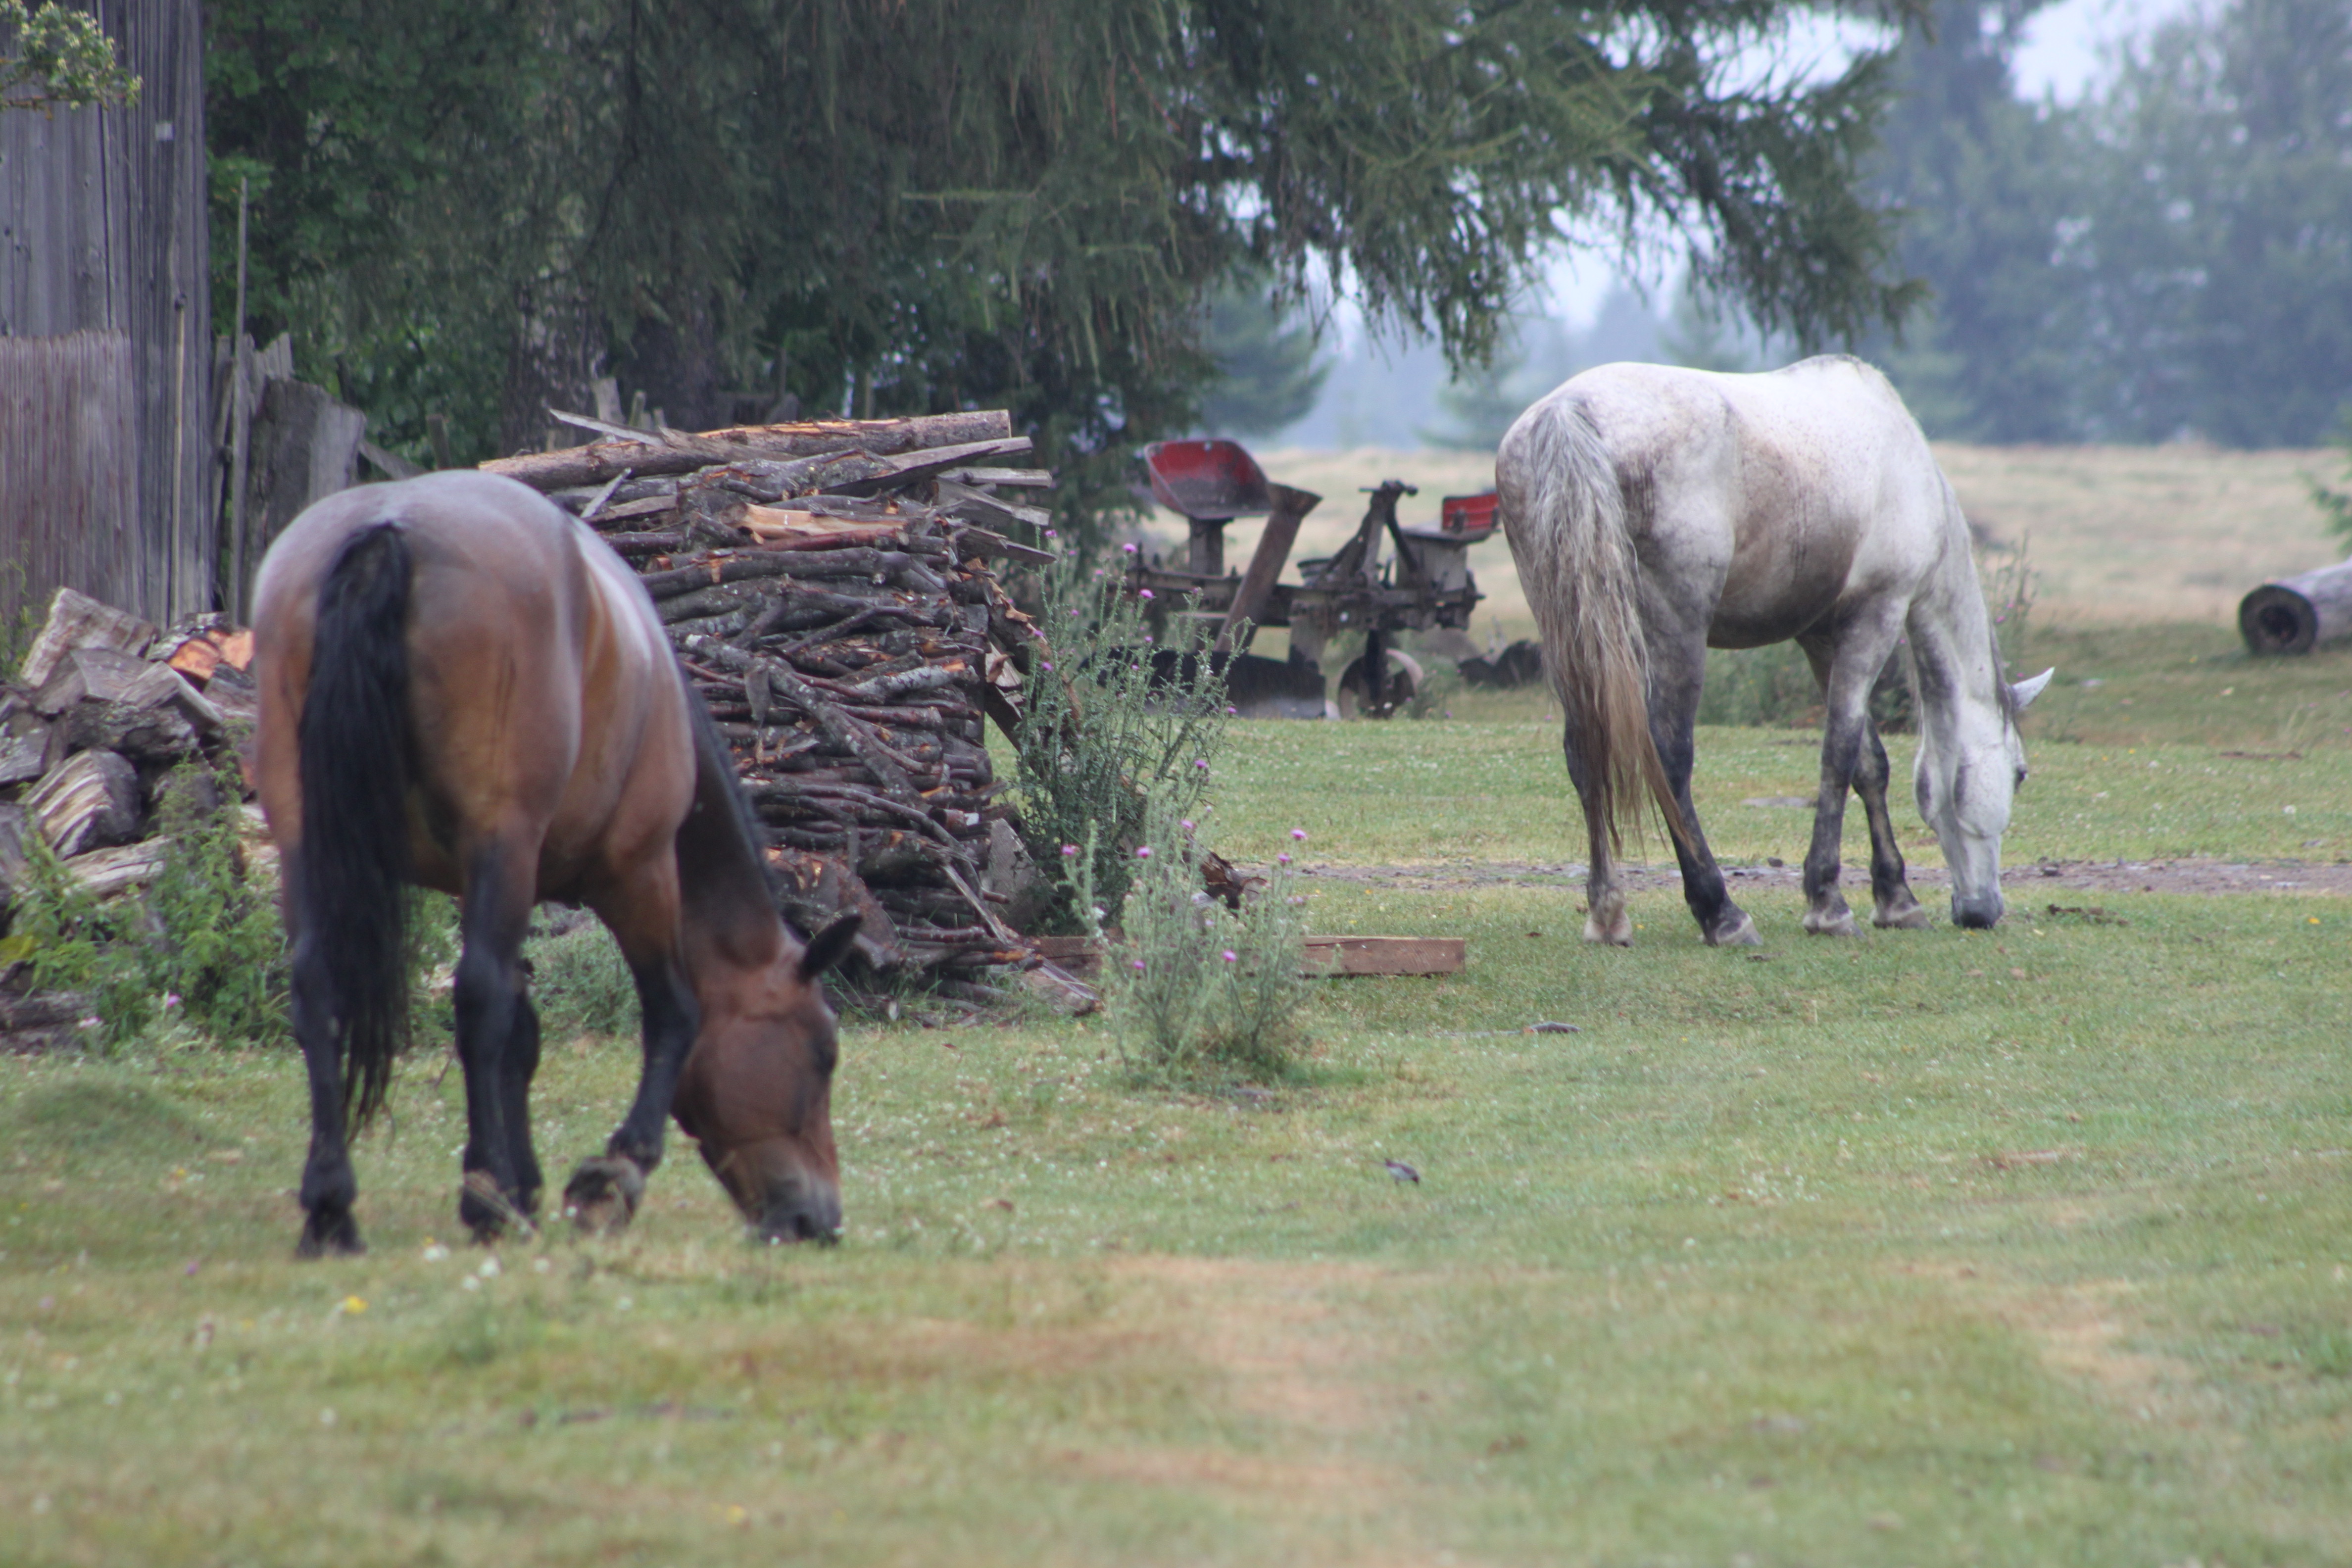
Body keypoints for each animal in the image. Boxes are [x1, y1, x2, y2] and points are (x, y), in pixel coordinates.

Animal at [252, 472, 861, 1260]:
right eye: (822, 1053)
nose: (820, 1221)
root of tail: (388, 530)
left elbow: (523, 1035)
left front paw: (527, 1187)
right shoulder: (638, 872)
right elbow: (672, 1013)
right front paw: (611, 1177)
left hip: (308, 838)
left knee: (319, 988)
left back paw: (333, 1209)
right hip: (504, 840)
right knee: (477, 996)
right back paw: (480, 1198)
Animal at [1496, 355, 2051, 945]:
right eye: (2020, 773)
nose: (1981, 911)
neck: (1904, 463)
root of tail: (1569, 410)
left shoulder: (1820, 637)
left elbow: (1869, 763)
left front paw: (1896, 898)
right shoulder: (1874, 618)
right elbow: (1839, 753)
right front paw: (1829, 903)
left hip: (1574, 637)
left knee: (1584, 755)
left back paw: (1608, 913)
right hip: (1675, 635)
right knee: (1669, 759)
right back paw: (1721, 912)